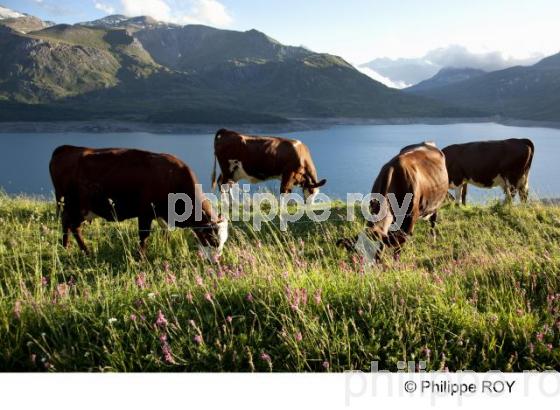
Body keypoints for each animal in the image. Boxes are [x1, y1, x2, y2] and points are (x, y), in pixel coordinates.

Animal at [49, 146, 228, 258]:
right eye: (213, 240)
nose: (216, 261)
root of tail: (67, 148)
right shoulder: (145, 212)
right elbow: (144, 236)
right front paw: (141, 257)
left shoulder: (162, 214)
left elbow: (166, 231)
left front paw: (165, 247)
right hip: (76, 205)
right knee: (73, 225)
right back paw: (85, 251)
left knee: (67, 222)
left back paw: (65, 246)